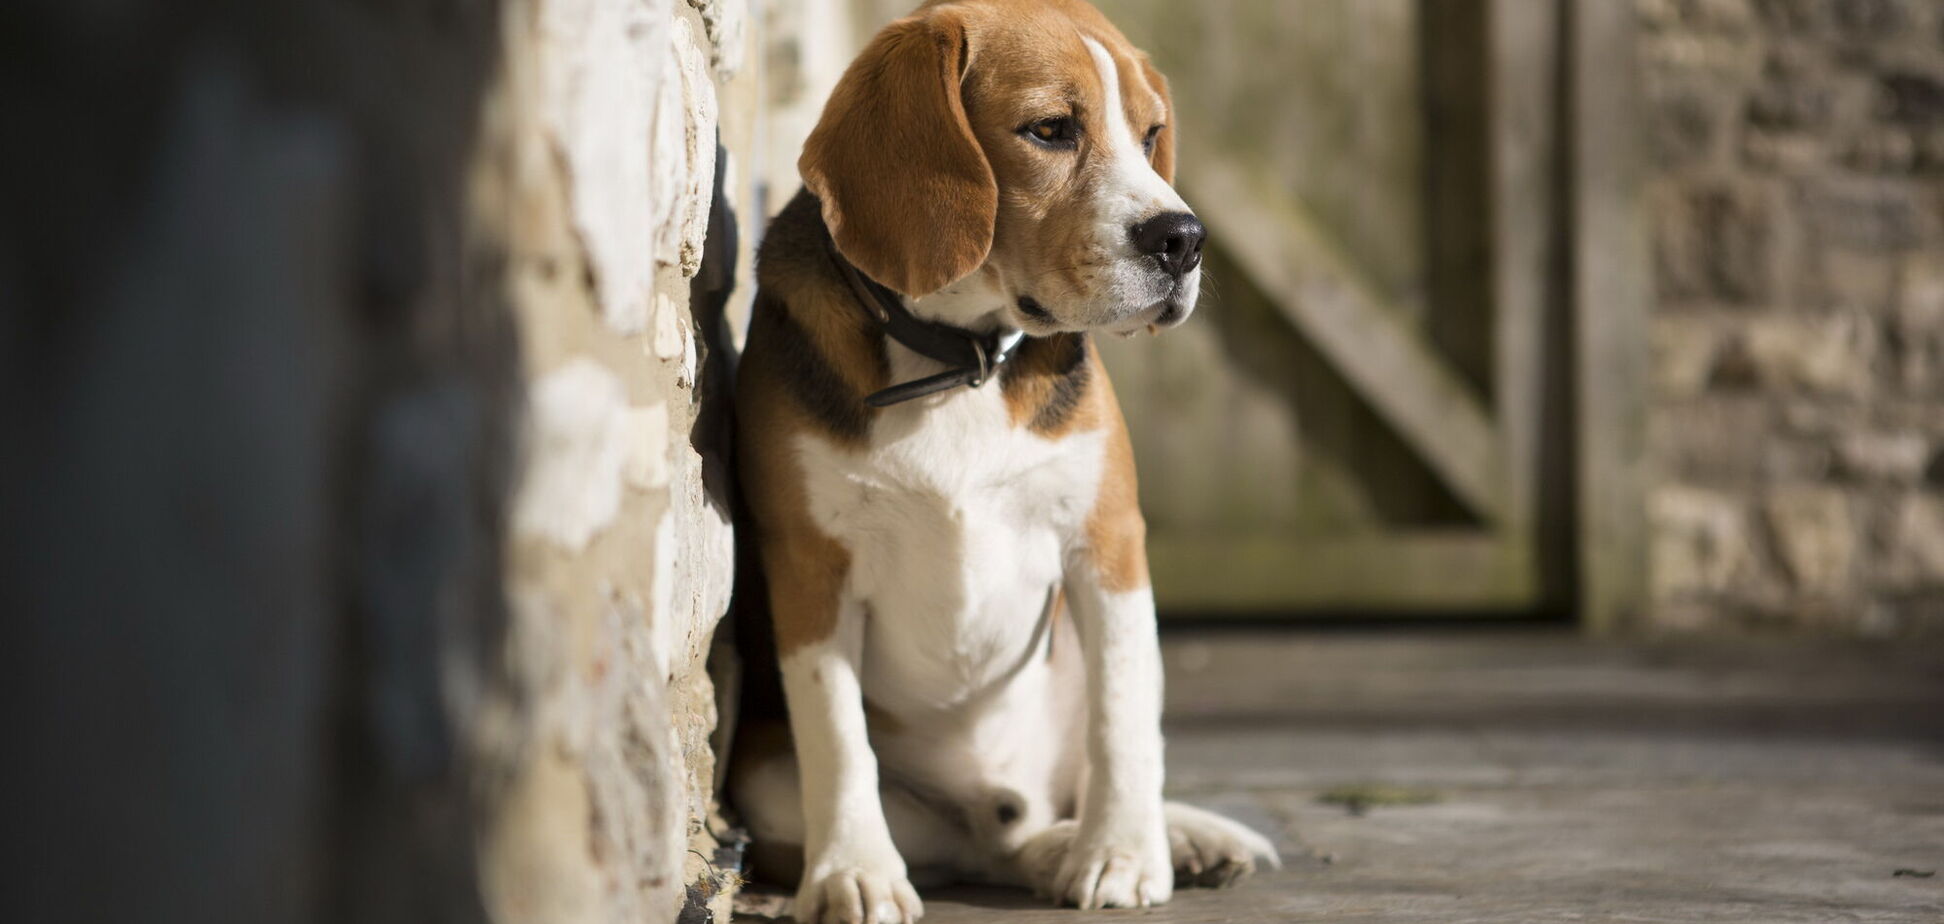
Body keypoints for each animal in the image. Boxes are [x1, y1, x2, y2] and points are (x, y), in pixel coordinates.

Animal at [730, 0, 1275, 922]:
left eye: (1151, 134)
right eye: (1050, 130)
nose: (1185, 239)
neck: (961, 360)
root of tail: (1004, 800)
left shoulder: (1108, 543)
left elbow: (1125, 721)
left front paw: (1125, 854)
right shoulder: (809, 568)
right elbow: (838, 738)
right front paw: (853, 871)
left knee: (1068, 786)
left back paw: (1175, 836)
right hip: (768, 780)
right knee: (984, 846)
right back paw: (1045, 849)